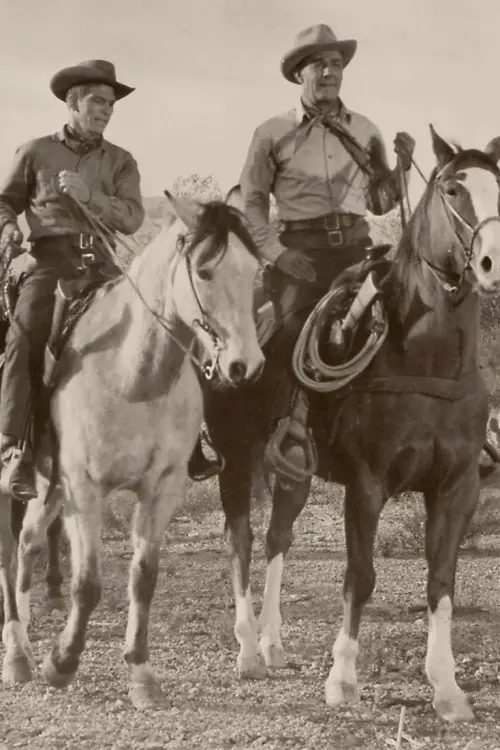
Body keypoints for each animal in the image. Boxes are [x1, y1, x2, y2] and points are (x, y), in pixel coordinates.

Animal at [0, 188, 266, 712]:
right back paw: (17, 651)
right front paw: (61, 664)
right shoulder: (85, 488)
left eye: (253, 272)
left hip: (46, 484)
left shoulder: (160, 488)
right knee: (7, 553)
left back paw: (22, 650)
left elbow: (143, 577)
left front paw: (141, 675)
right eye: (205, 270)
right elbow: (87, 584)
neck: (131, 374)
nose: (245, 365)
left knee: (29, 543)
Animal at [203, 126, 500, 724]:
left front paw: (447, 687)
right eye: (454, 188)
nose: (491, 262)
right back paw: (248, 650)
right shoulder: (367, 484)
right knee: (240, 538)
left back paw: (271, 641)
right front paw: (342, 678)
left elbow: (441, 579)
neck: (425, 359)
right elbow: (359, 576)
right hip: (236, 460)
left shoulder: (457, 487)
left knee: (278, 537)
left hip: (293, 473)